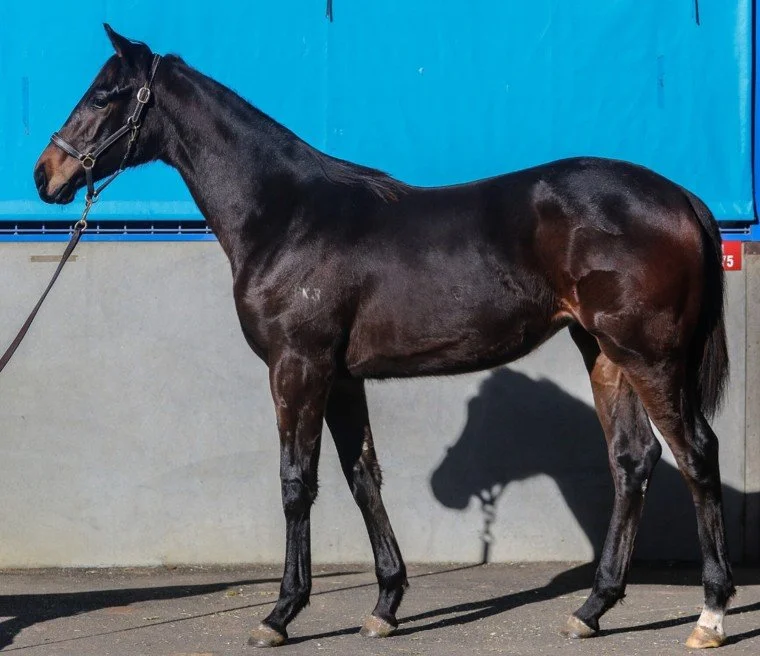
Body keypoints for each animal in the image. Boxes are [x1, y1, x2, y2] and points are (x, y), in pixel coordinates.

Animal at [33, 25, 733, 649]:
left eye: (104, 95)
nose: (46, 174)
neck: (287, 216)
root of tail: (682, 198)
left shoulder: (297, 366)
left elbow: (297, 481)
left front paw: (280, 614)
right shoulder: (342, 377)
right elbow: (361, 475)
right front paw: (385, 606)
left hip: (650, 356)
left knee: (696, 453)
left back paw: (710, 616)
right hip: (605, 353)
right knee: (632, 460)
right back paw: (592, 609)